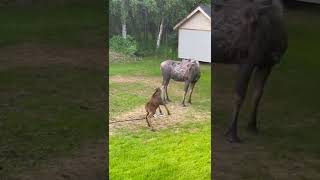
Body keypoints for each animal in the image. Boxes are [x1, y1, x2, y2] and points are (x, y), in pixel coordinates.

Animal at [212, 0, 288, 143]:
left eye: (252, 20)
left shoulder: (267, 64)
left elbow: (258, 94)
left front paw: (252, 126)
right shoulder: (246, 62)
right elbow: (239, 96)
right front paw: (232, 134)